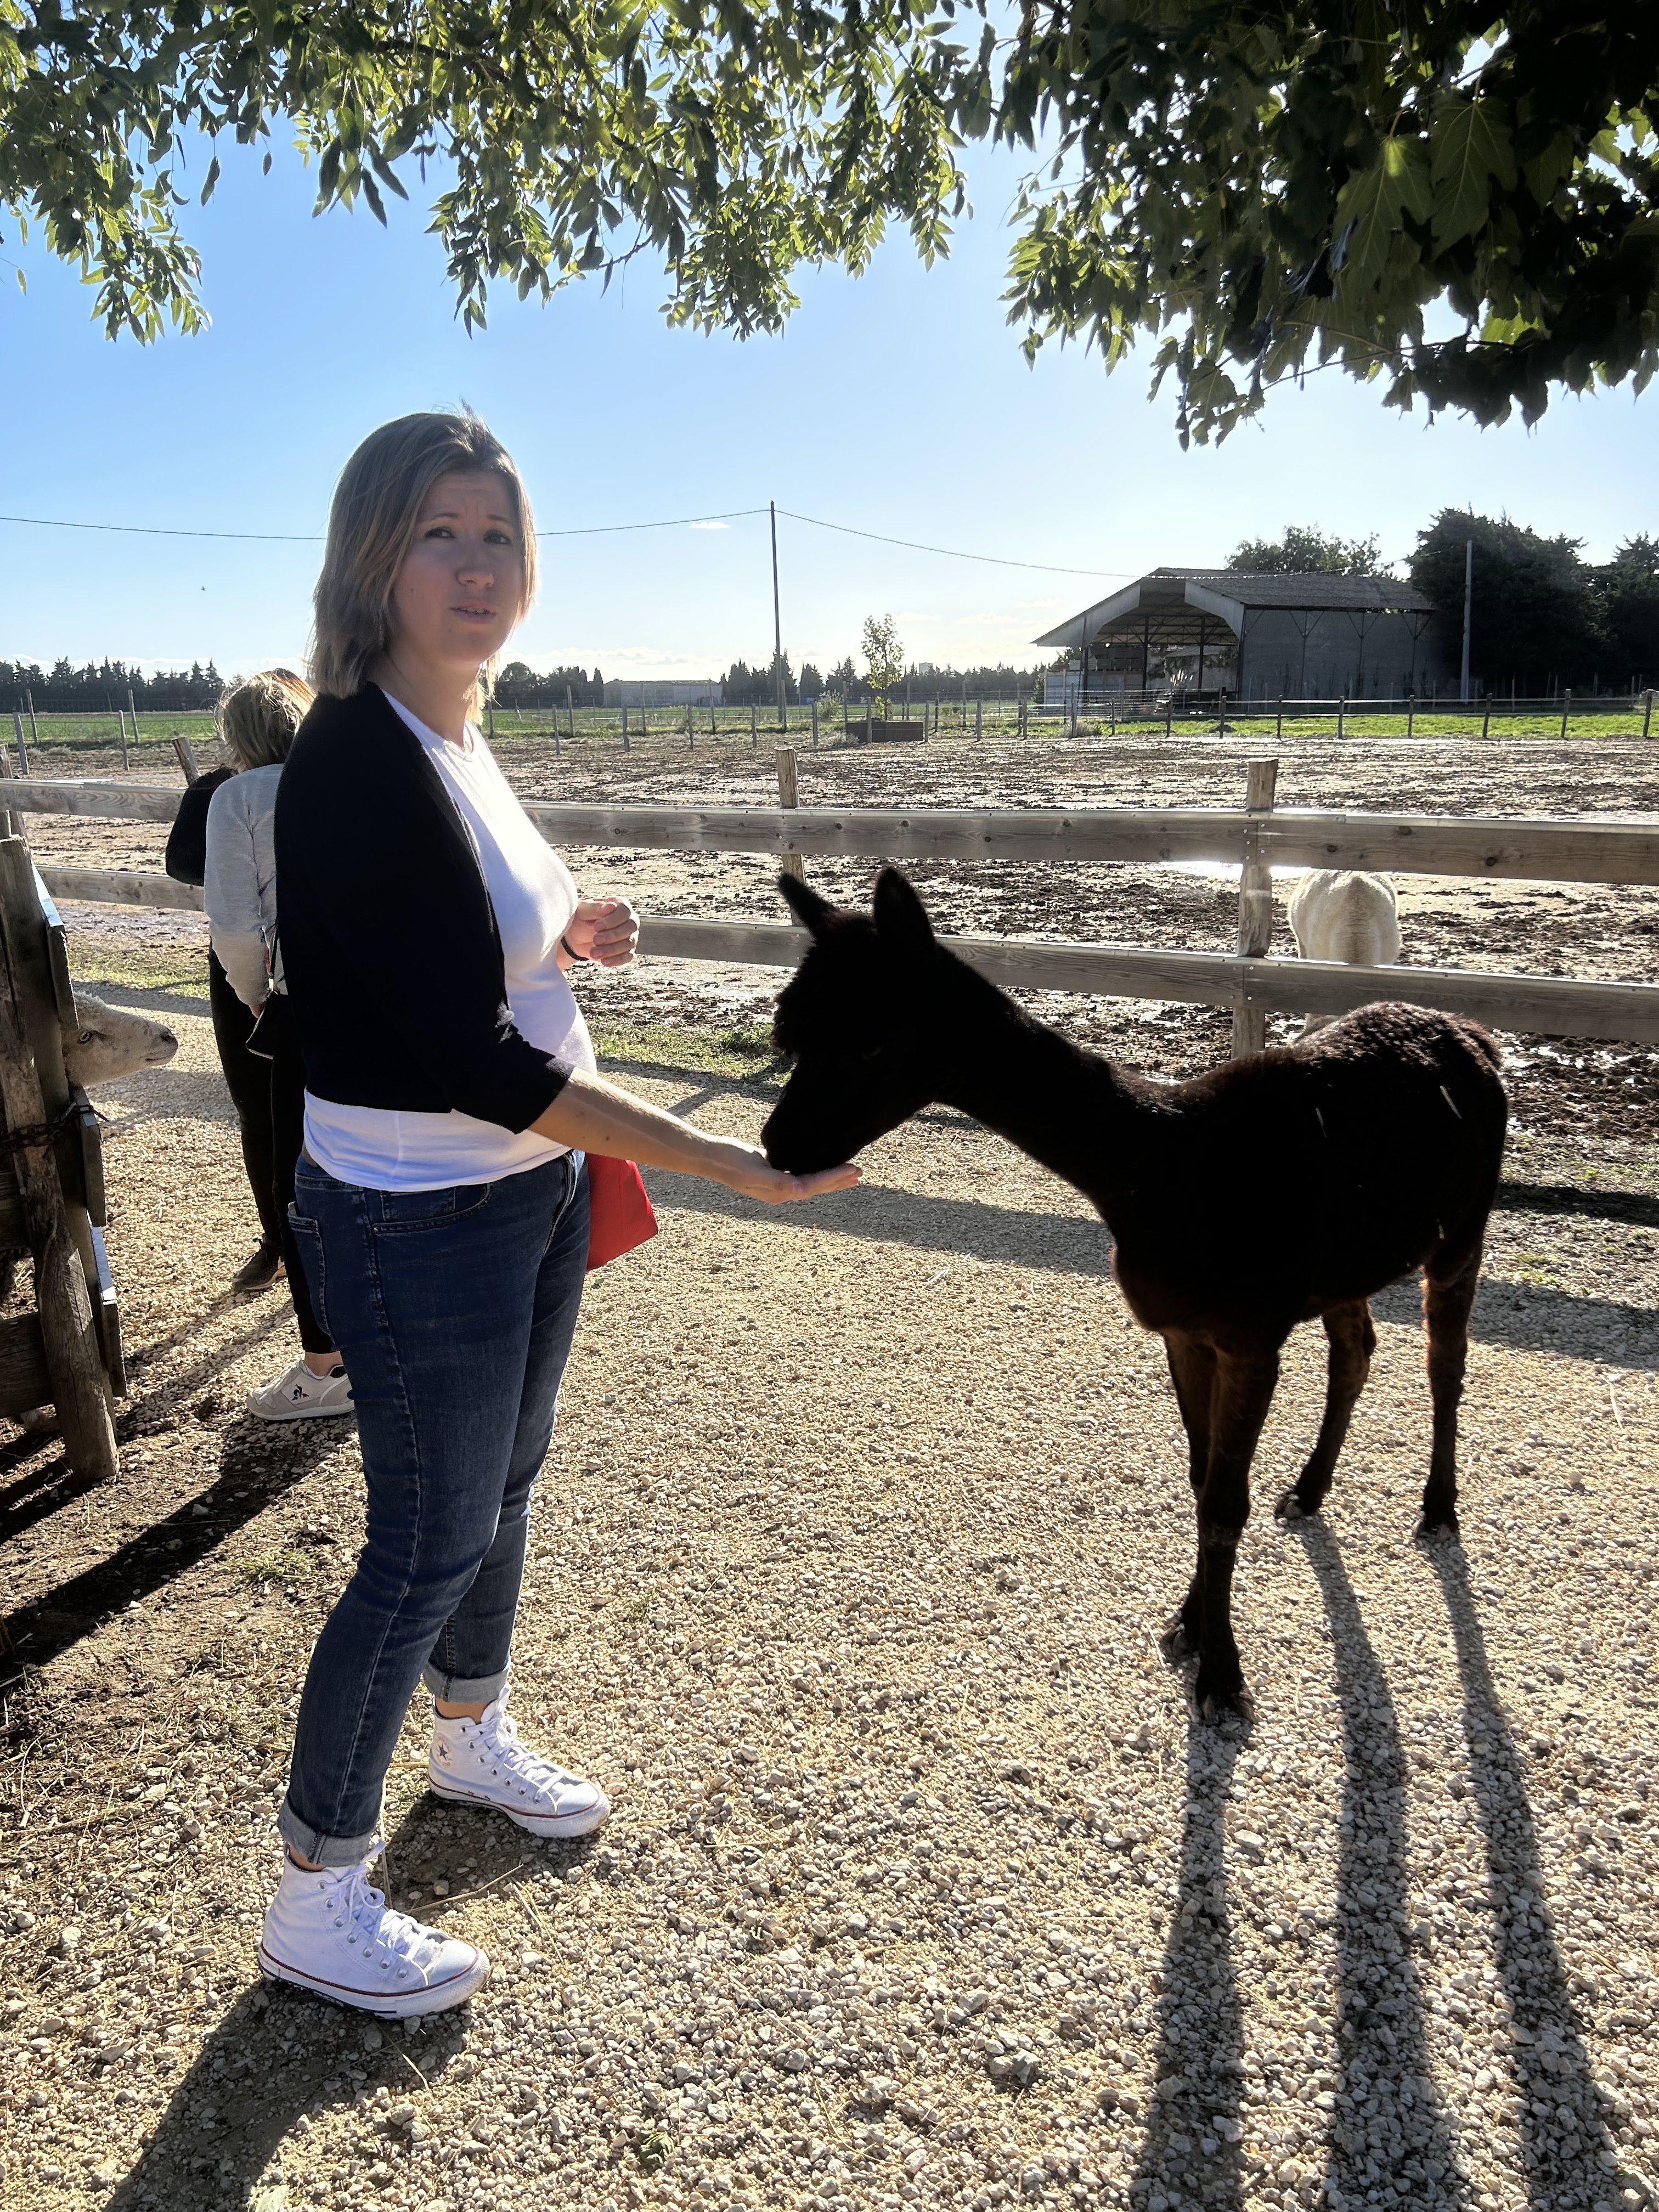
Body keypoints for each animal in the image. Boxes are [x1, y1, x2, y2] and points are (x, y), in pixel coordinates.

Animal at [764, 868, 1508, 1719]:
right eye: (794, 1036)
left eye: (871, 1041)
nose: (779, 1145)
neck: (1162, 1178)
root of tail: (1470, 1033)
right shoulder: (1184, 1328)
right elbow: (1201, 1478)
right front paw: (1190, 1624)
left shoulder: (1252, 1329)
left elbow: (1225, 1502)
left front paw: (1223, 1677)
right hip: (1348, 1257)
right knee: (1356, 1349)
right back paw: (1310, 1489)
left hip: (1465, 1223)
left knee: (1443, 1363)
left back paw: (1438, 1509)